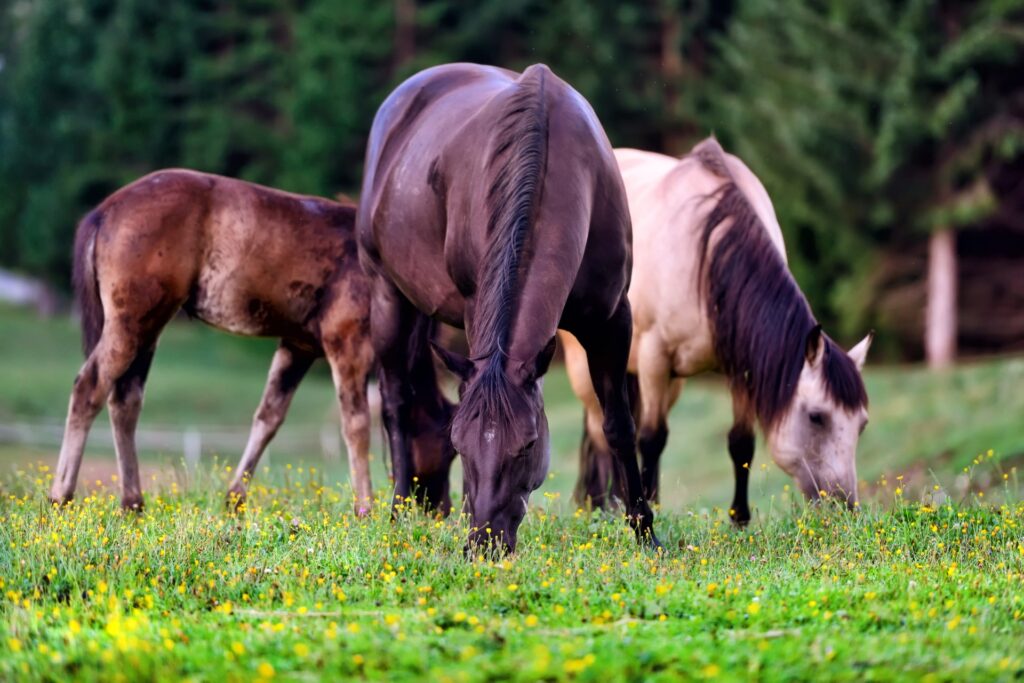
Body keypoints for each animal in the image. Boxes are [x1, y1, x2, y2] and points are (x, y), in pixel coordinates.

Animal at [49, 169, 450, 514]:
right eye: (449, 446)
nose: (440, 509)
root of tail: (103, 212)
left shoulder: (298, 346)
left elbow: (269, 416)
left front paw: (234, 497)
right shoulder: (348, 343)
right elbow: (356, 424)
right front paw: (364, 507)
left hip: (148, 325)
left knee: (125, 399)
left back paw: (132, 502)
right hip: (132, 322)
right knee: (89, 387)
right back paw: (61, 496)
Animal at [358, 63, 658, 552]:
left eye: (529, 444)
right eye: (461, 446)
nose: (484, 543)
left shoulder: (613, 321)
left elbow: (619, 423)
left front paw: (645, 531)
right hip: (386, 297)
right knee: (396, 403)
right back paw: (398, 512)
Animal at [561, 137, 872, 524]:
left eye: (862, 424)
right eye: (817, 417)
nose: (844, 506)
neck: (706, 254)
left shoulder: (741, 367)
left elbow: (741, 442)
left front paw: (739, 519)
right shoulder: (654, 358)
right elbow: (651, 438)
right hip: (589, 364)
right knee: (601, 433)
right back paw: (605, 508)